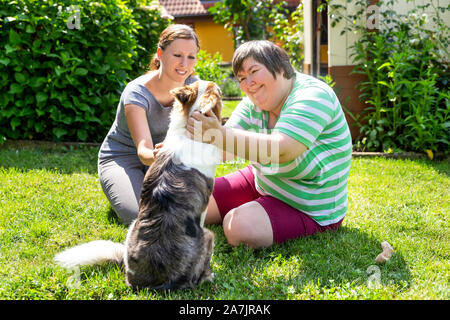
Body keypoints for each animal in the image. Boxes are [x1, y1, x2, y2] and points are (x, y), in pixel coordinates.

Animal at [54, 80, 223, 290]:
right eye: (219, 93)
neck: (188, 128)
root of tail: (143, 284)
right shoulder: (203, 210)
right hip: (207, 236)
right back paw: (208, 276)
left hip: (132, 226)